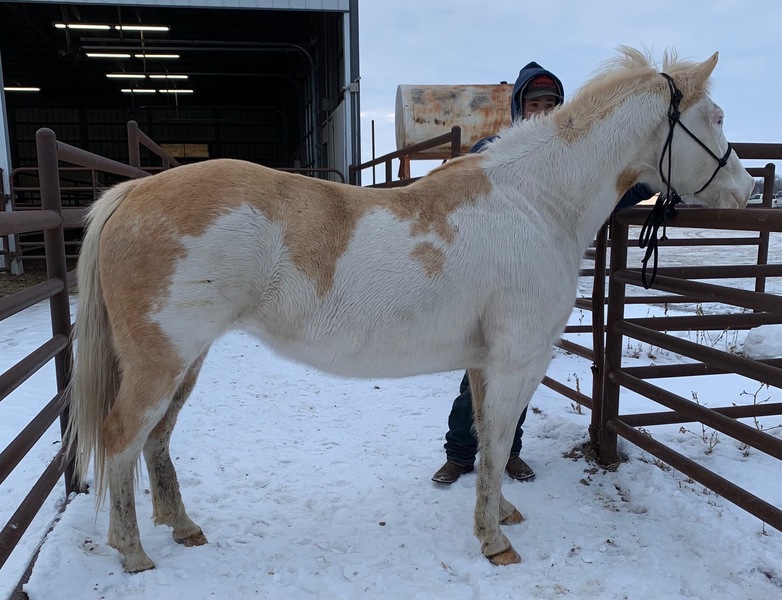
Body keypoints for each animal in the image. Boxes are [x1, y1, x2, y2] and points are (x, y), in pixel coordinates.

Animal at [66, 46, 753, 573]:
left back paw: (182, 527)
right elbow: (497, 439)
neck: (536, 202)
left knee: (156, 439)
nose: (746, 190)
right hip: (161, 362)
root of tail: (133, 194)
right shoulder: (516, 361)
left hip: (186, 361)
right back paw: (133, 554)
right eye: (717, 116)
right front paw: (495, 542)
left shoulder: (485, 363)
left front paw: (501, 514)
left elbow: (487, 439)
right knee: (123, 439)